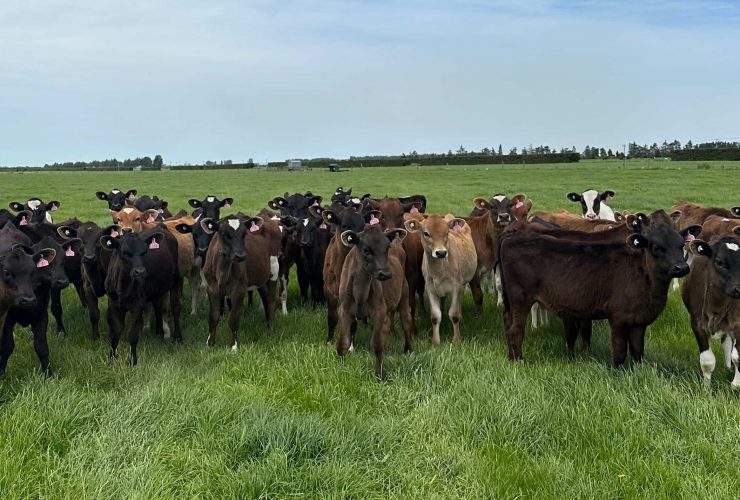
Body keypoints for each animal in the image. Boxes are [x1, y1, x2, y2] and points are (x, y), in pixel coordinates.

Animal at [102, 229, 181, 365]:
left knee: (175, 307)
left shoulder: (138, 303)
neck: (123, 286)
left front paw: (132, 361)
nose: (140, 272)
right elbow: (115, 332)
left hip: (175, 280)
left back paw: (177, 336)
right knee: (158, 307)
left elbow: (133, 334)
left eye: (144, 252)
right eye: (125, 253)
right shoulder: (113, 302)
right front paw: (111, 358)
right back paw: (159, 333)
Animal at [336, 225, 415, 379]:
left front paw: (379, 374)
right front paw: (340, 368)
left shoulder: (378, 311)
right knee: (387, 325)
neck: (360, 293)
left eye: (387, 247)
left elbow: (377, 344)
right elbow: (343, 343)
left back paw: (408, 350)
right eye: (366, 249)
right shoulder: (345, 310)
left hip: (404, 295)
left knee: (406, 323)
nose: (385, 274)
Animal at [404, 213, 477, 345]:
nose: (441, 253)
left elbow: (454, 314)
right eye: (426, 233)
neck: (439, 271)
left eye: (447, 232)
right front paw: (436, 341)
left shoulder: (456, 286)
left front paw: (457, 339)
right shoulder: (430, 288)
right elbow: (435, 316)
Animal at [498, 210, 690, 366]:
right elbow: (617, 348)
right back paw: (518, 362)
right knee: (515, 330)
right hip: (520, 298)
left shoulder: (637, 319)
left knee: (507, 325)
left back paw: (510, 357)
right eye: (656, 247)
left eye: (681, 245)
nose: (681, 267)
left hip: (510, 302)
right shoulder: (615, 317)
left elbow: (636, 350)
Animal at [682, 236, 740, 388]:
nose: (739, 289)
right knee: (726, 343)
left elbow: (738, 357)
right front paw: (706, 388)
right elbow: (707, 361)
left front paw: (736, 385)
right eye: (719, 261)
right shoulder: (697, 323)